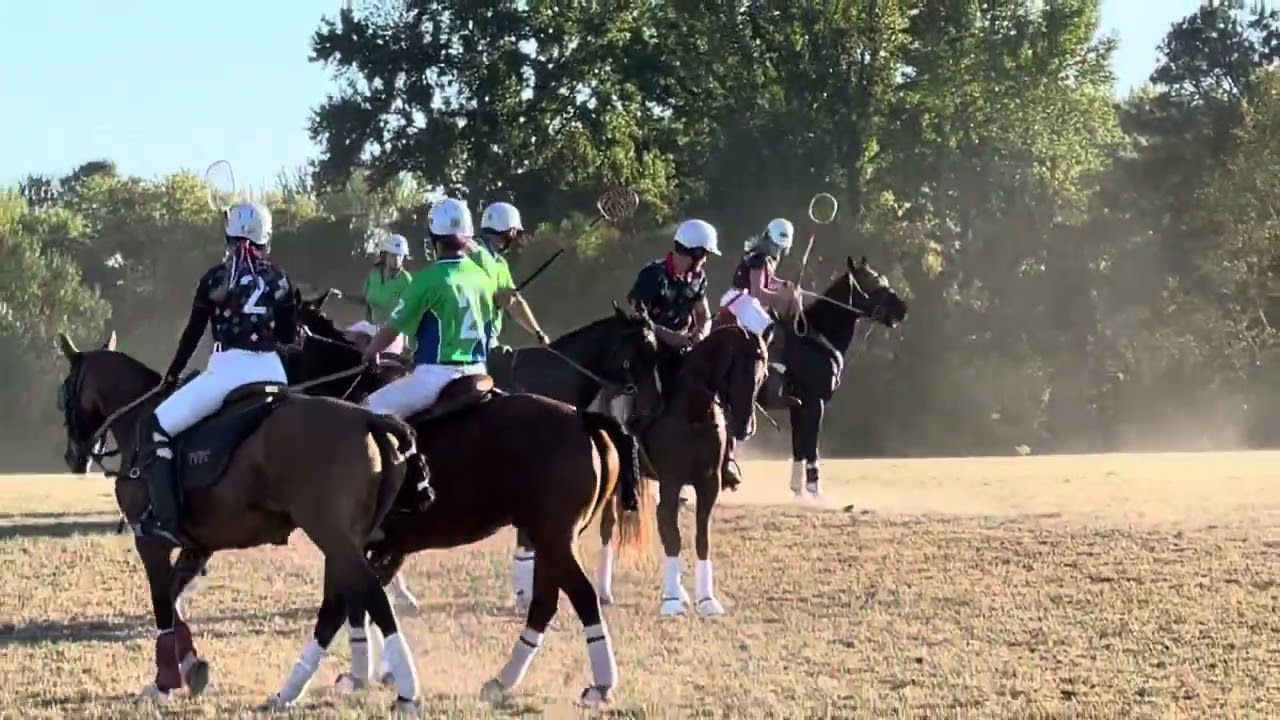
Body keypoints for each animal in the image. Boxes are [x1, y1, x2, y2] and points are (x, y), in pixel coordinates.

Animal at [56, 330, 424, 707]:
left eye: (65, 390)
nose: (73, 456)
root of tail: (368, 418)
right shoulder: (196, 547)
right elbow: (173, 601)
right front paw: (192, 667)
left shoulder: (150, 541)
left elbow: (161, 602)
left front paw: (164, 683)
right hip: (349, 540)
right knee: (347, 600)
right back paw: (305, 687)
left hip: (331, 534)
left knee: (371, 595)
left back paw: (406, 691)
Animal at [591, 322, 762, 614]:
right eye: (735, 368)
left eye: (762, 371)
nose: (745, 426)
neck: (692, 413)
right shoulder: (671, 482)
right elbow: (672, 536)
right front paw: (671, 601)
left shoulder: (709, 484)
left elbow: (701, 538)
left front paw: (706, 600)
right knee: (608, 526)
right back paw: (603, 592)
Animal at [762, 254, 906, 497]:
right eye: (873, 282)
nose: (902, 309)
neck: (817, 338)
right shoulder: (814, 402)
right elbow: (811, 446)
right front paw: (814, 490)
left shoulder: (797, 405)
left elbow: (799, 445)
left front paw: (798, 490)